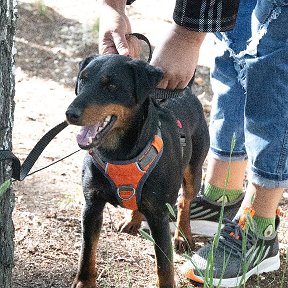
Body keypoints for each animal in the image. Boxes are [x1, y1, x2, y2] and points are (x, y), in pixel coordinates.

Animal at [65, 54, 209, 288]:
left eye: (111, 85)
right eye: (83, 78)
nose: (70, 113)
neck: (118, 154)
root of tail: (187, 91)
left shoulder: (159, 216)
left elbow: (164, 265)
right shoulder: (92, 205)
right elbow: (87, 251)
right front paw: (84, 283)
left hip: (194, 170)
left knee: (184, 201)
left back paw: (182, 236)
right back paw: (132, 220)